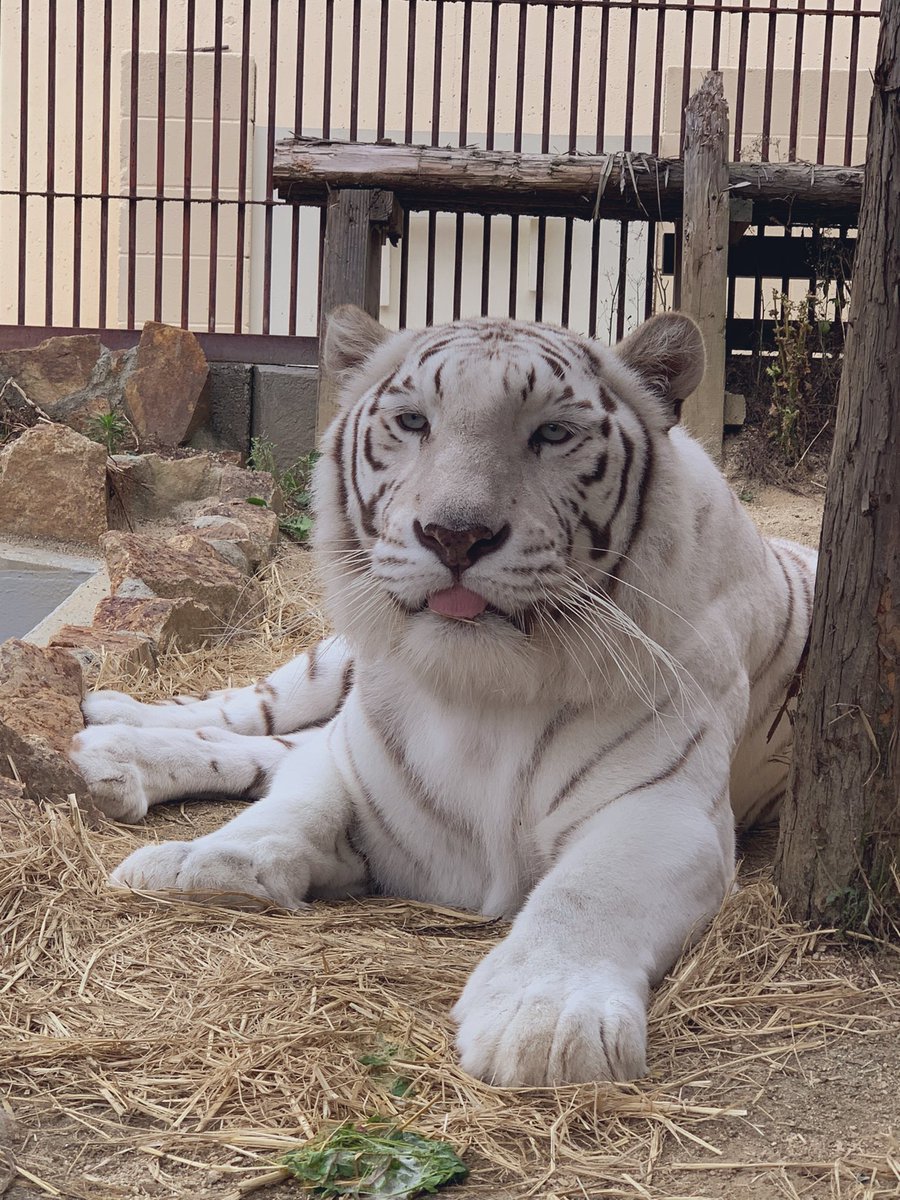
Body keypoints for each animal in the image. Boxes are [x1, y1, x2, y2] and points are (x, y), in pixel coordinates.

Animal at [70, 305, 816, 1087]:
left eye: (554, 433)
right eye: (412, 422)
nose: (456, 535)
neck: (483, 688)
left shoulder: (665, 809)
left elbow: (589, 892)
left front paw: (544, 1017)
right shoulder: (355, 757)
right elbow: (287, 807)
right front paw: (200, 863)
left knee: (270, 745)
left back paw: (110, 757)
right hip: (331, 663)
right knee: (255, 711)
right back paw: (111, 718)